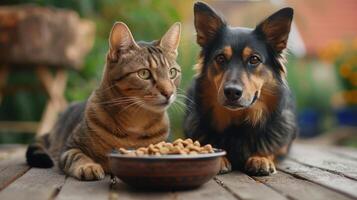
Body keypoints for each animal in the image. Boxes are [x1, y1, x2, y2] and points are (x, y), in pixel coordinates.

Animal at [25, 22, 181, 181]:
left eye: (172, 72)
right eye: (144, 73)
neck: (136, 121)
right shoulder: (69, 147)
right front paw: (89, 166)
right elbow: (76, 156)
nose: (168, 93)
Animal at [184, 2, 298, 176]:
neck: (237, 126)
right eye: (220, 58)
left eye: (254, 59)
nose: (232, 92)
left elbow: (273, 149)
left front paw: (261, 157)